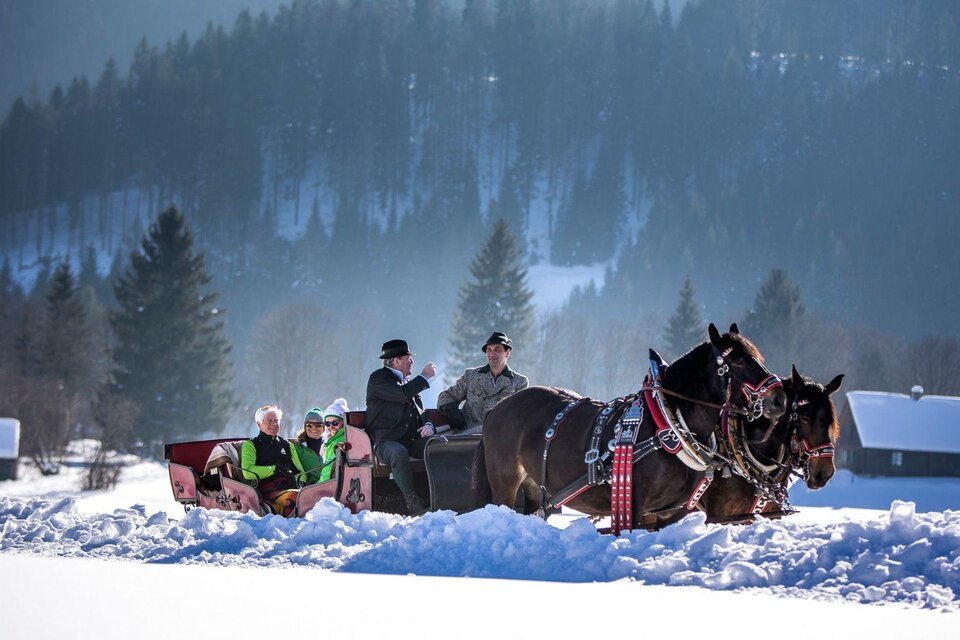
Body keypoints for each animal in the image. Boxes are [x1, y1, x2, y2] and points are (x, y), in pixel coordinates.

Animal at [473, 323, 788, 529]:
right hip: (505, 482)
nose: (778, 399)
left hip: (534, 488)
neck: (666, 424)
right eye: (736, 361)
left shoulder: (667, 512)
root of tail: (498, 409)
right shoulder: (632, 504)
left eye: (757, 356)